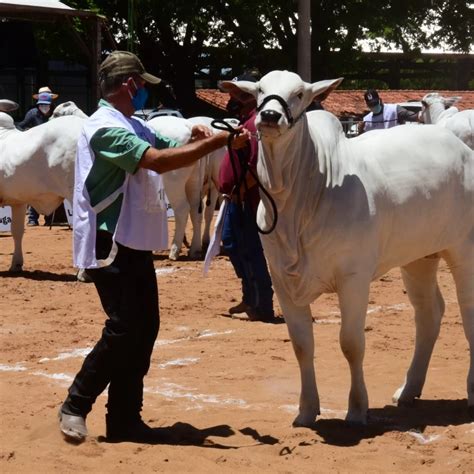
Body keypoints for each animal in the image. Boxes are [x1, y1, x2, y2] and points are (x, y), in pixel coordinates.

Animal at [147, 116, 227, 262]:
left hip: (174, 183)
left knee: (183, 210)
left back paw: (175, 250)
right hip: (197, 182)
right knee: (198, 211)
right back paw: (196, 248)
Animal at [221, 70, 474, 426]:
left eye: (300, 93)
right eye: (259, 89)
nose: (270, 115)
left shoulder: (353, 278)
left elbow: (351, 343)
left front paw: (356, 409)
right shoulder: (282, 280)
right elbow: (302, 345)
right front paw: (306, 410)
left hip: (464, 251)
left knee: (467, 314)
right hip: (418, 258)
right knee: (429, 314)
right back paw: (408, 389)